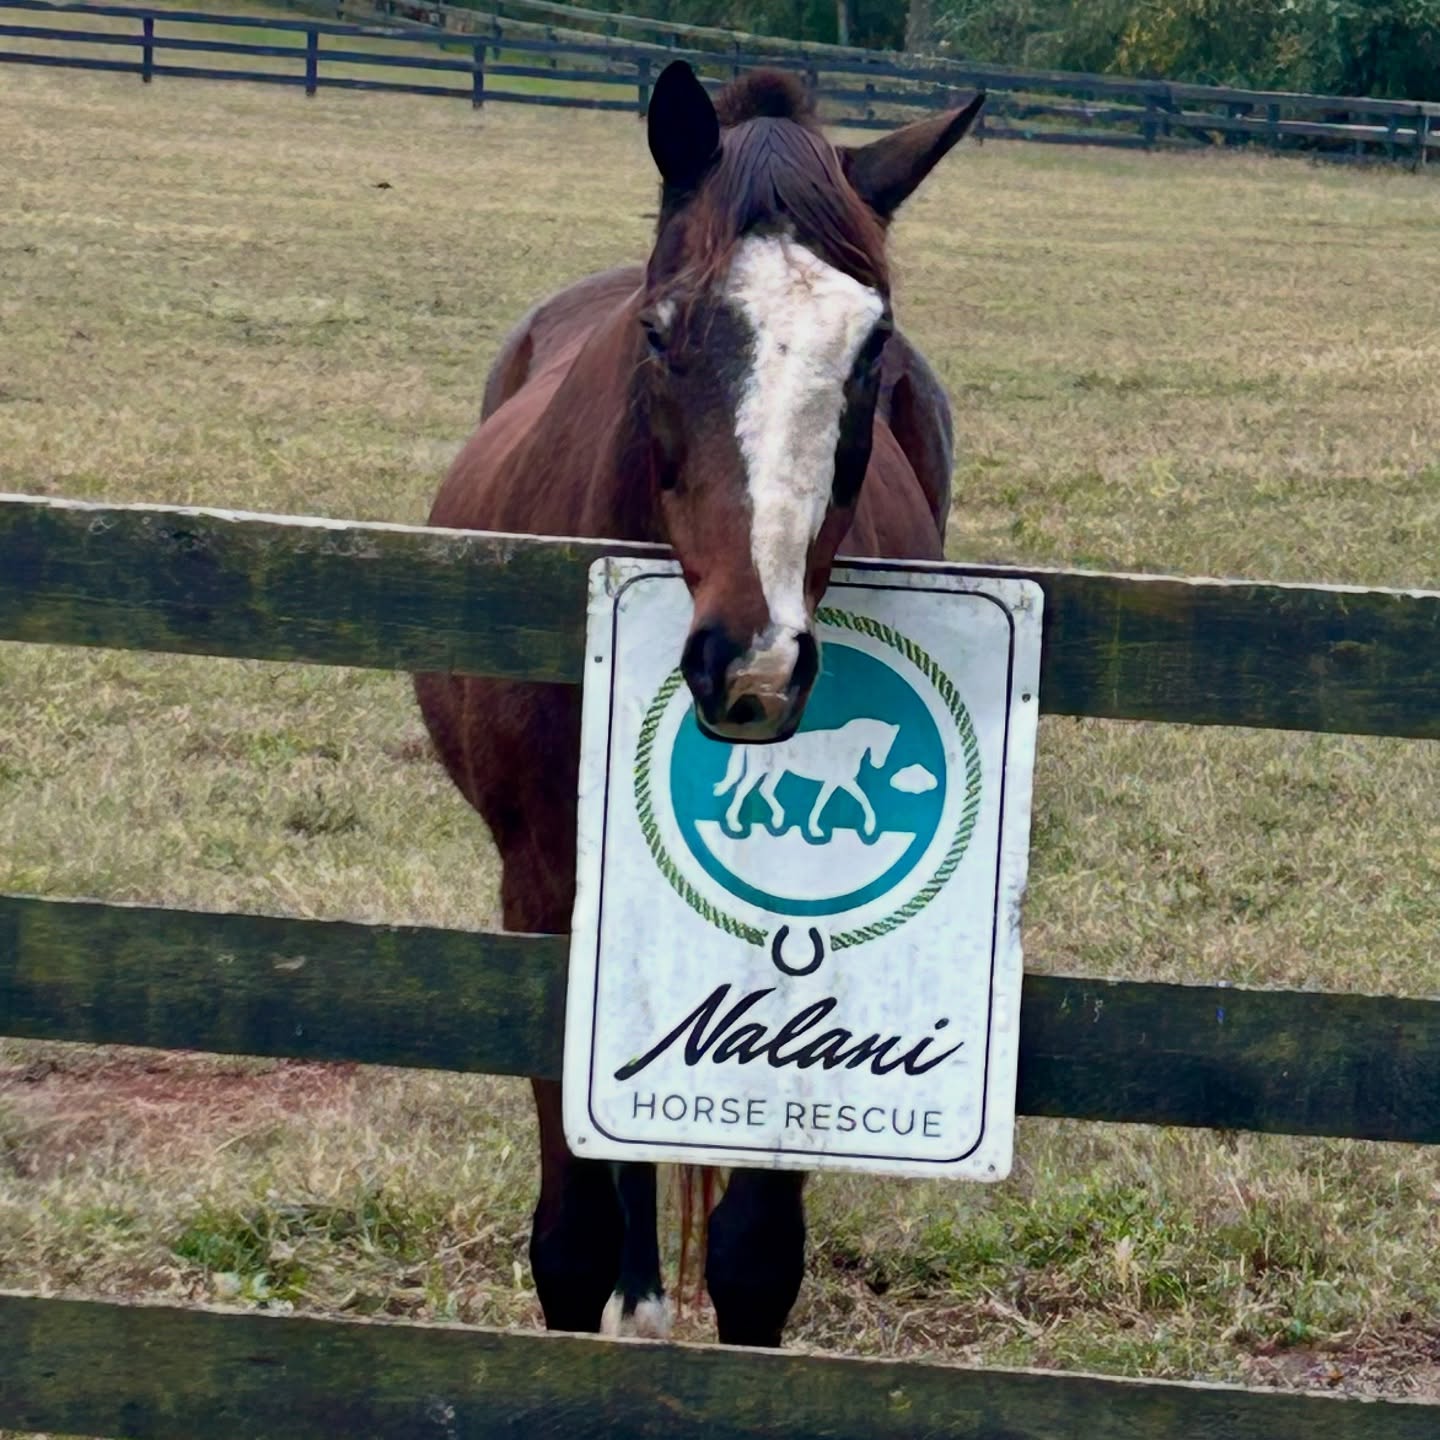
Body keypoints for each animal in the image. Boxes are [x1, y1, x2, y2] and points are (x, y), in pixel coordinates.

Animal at [414, 60, 984, 1349]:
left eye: (871, 347)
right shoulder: (543, 893)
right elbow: (571, 1232)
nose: (753, 663)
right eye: (665, 330)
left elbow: (758, 1252)